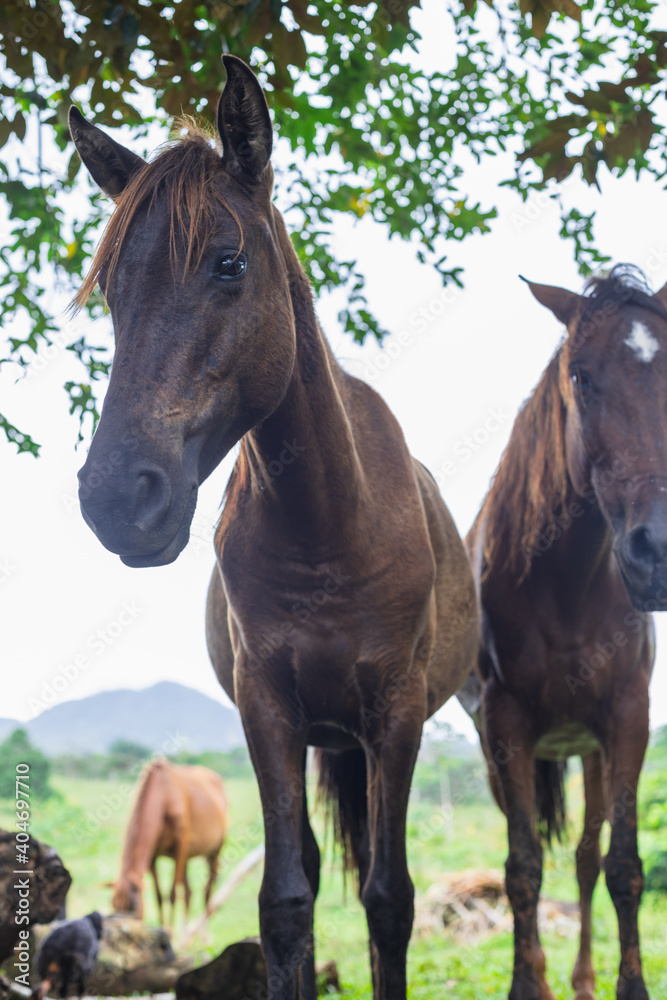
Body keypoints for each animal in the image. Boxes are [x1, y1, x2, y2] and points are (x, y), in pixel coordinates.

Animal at [111, 759, 228, 927]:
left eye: (133, 909)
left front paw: (170, 931)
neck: (164, 797)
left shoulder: (179, 850)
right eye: (113, 905)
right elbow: (159, 897)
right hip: (187, 857)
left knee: (207, 891)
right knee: (188, 893)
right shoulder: (152, 856)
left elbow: (172, 895)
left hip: (215, 850)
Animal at [463, 265, 667, 1000]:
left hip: (590, 751)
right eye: (579, 375)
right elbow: (521, 868)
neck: (567, 589)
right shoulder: (506, 727)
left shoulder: (627, 719)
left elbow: (622, 865)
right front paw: (527, 985)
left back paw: (581, 979)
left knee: (583, 857)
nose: (657, 549)